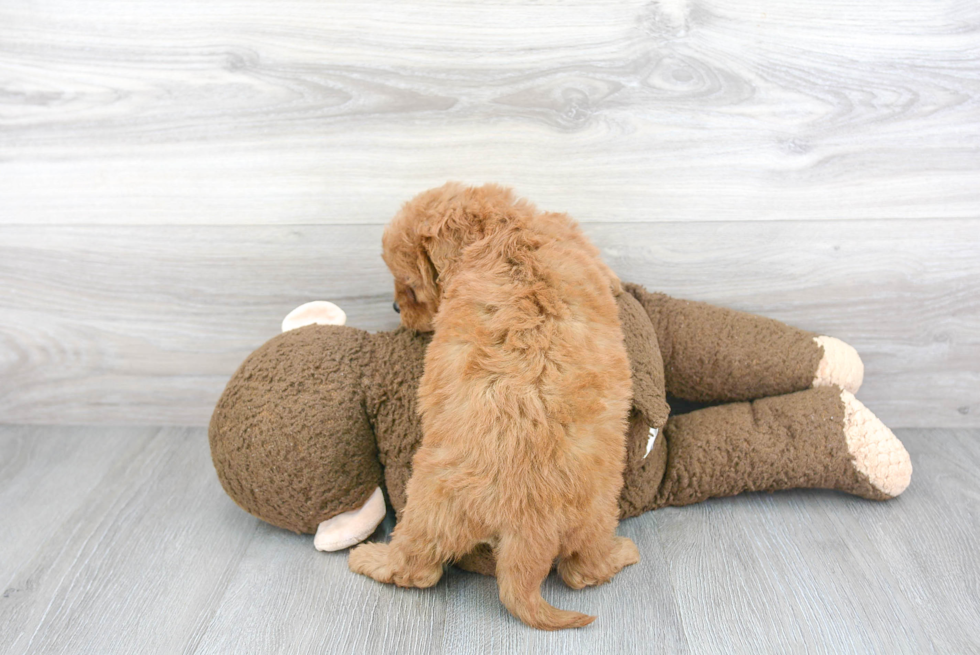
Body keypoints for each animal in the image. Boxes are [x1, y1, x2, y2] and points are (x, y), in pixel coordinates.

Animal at [348, 183, 640, 632]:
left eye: (411, 285)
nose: (397, 309)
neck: (503, 228)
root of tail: (528, 527)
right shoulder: (572, 237)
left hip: (429, 507)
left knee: (416, 569)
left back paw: (368, 556)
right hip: (595, 513)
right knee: (582, 571)